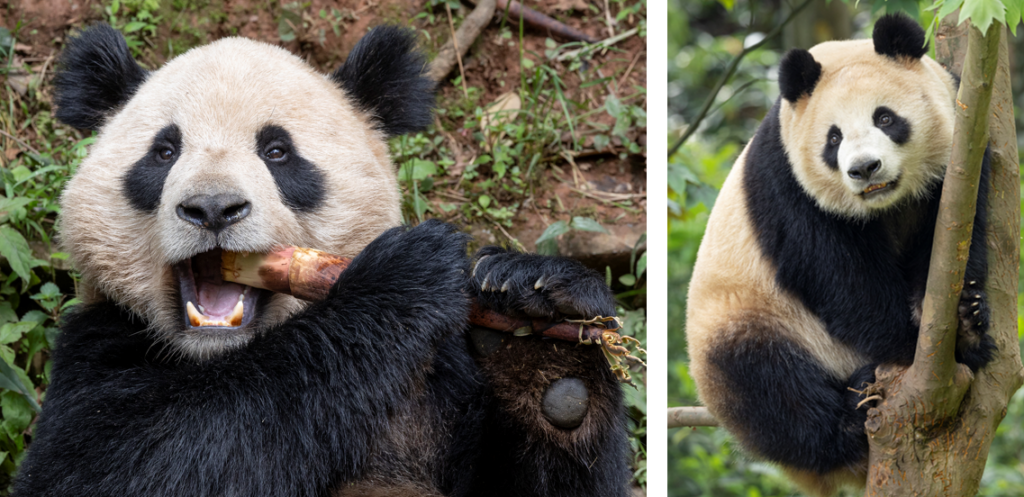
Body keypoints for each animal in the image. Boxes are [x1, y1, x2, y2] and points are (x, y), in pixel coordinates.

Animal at [12, 23, 631, 497]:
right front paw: (403, 276)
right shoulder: (98, 345)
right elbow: (134, 464)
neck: (222, 358)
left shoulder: (442, 382)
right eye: (163, 152)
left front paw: (541, 324)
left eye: (277, 151)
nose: (212, 208)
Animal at [685, 13, 994, 497]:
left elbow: (953, 239)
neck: (886, 205)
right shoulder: (787, 183)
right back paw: (852, 416)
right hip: (747, 317)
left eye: (885, 117)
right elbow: (840, 278)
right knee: (766, 384)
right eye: (833, 138)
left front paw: (964, 322)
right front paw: (910, 343)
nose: (864, 168)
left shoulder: (962, 152)